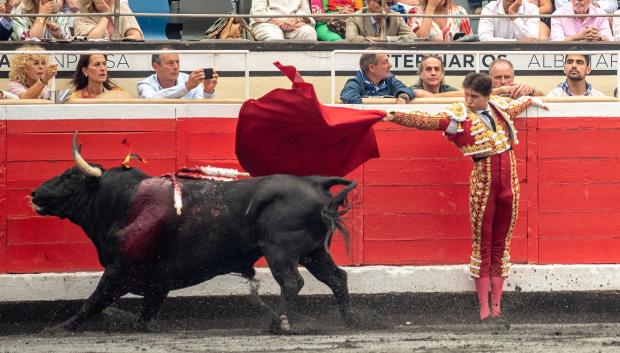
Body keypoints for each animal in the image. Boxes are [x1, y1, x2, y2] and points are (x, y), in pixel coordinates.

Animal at [29, 133, 358, 332]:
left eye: (69, 178)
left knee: (291, 282)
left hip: (280, 250)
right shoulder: (156, 282)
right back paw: (349, 321)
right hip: (314, 253)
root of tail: (315, 182)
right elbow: (143, 314)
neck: (124, 203)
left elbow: (94, 300)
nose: (34, 194)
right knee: (337, 278)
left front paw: (57, 328)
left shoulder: (119, 270)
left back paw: (280, 324)